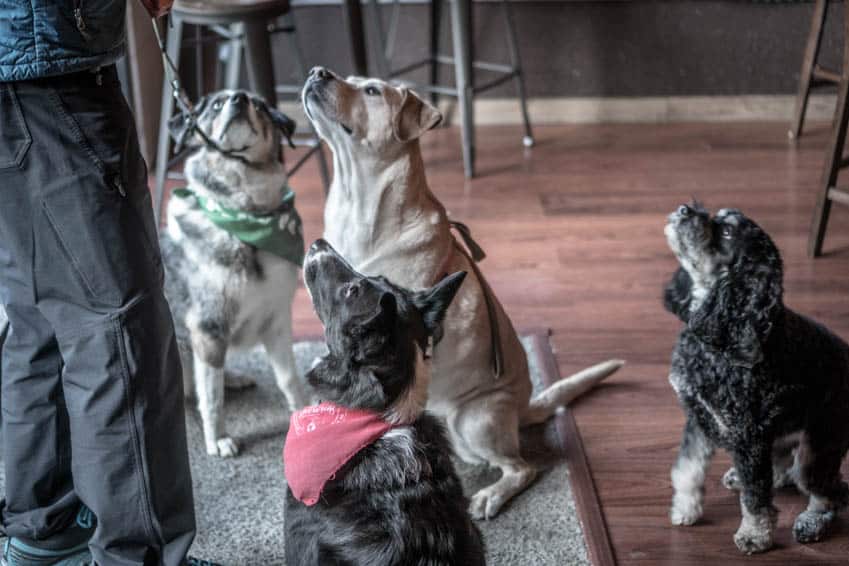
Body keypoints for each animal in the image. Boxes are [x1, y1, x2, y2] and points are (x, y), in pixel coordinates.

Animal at [159, 91, 308, 460]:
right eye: (214, 105)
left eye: (259, 104)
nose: (239, 99)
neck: (247, 220)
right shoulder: (209, 328)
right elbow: (212, 398)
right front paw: (219, 439)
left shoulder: (277, 320)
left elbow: (289, 379)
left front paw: (306, 414)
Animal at [302, 66, 620, 520]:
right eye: (349, 77)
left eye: (372, 90)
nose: (317, 72)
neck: (358, 209)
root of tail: (522, 409)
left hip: (473, 420)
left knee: (522, 468)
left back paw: (490, 495)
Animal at [664, 203, 848, 556]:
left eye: (727, 232)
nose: (684, 209)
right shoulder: (699, 417)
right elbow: (688, 470)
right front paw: (685, 509)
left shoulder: (749, 431)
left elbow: (756, 500)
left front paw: (755, 535)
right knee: (779, 470)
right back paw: (745, 475)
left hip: (817, 447)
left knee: (828, 492)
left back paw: (812, 522)